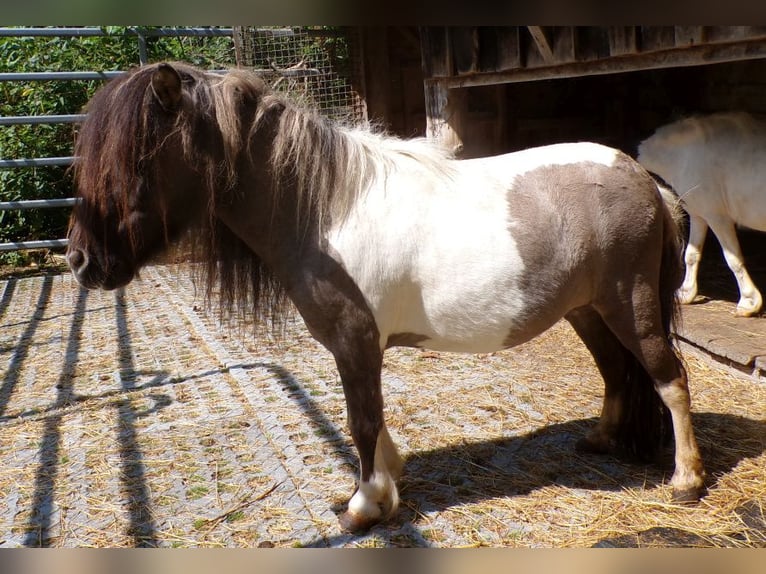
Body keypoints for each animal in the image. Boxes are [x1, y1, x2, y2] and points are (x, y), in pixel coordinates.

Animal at [66, 62, 706, 532]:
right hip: (587, 310)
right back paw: (602, 440)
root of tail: (646, 181)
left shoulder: (356, 341)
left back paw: (686, 481)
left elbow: (362, 421)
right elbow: (370, 417)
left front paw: (366, 504)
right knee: (617, 372)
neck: (326, 209)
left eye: (136, 161)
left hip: (631, 304)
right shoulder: (356, 347)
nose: (80, 262)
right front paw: (386, 477)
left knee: (669, 378)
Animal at [638, 111, 766, 317]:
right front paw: (686, 293)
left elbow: (733, 259)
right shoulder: (698, 215)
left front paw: (749, 302)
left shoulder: (717, 217)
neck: (683, 154)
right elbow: (691, 255)